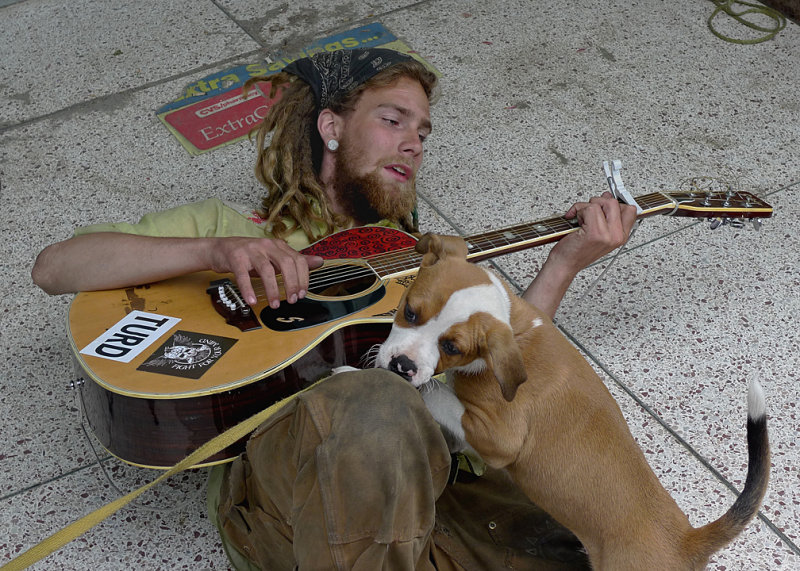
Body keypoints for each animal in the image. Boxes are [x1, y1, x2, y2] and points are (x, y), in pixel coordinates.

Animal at [376, 233, 768, 571]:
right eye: (409, 312)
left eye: (451, 347)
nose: (402, 365)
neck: (511, 327)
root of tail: (687, 541)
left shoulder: (500, 436)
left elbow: (435, 392)